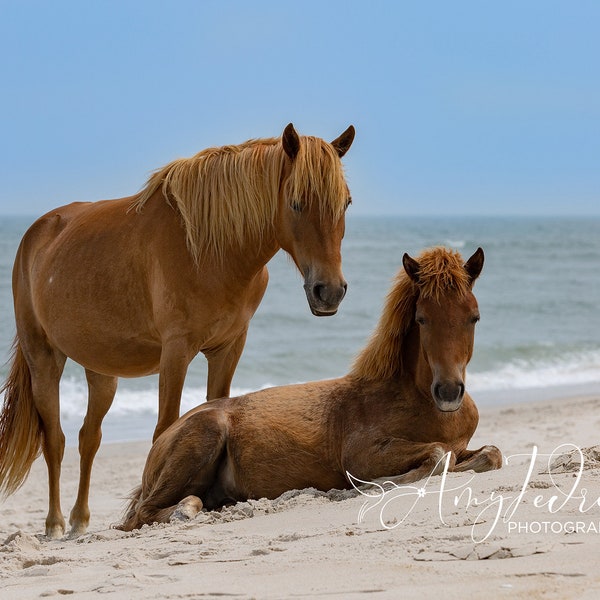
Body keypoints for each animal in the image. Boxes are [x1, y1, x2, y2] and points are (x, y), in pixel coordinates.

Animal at [0, 123, 356, 540]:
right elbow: (163, 429)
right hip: (44, 359)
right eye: (297, 203)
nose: (328, 291)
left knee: (89, 438)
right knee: (55, 440)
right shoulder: (176, 352)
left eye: (346, 203)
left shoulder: (228, 348)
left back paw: (79, 521)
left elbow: (213, 405)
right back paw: (55, 524)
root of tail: (37, 232)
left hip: (102, 371)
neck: (213, 250)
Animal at [120, 245, 502, 528]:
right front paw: (374, 486)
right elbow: (439, 454)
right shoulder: (361, 455)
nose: (449, 393)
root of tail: (165, 437)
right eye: (421, 319)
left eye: (474, 317)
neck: (417, 400)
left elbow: (488, 454)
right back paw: (184, 509)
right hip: (205, 433)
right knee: (145, 512)